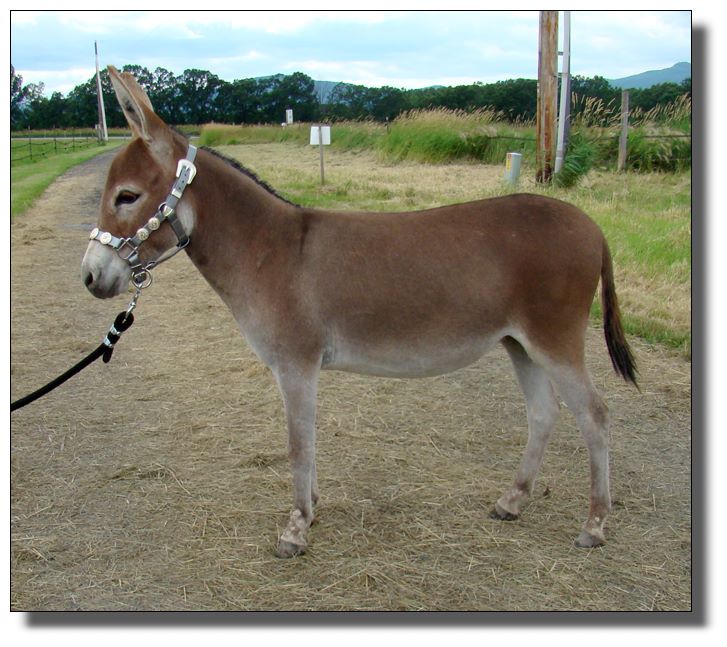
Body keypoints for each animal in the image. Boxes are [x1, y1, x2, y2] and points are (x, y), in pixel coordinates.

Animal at [81, 67, 637, 558]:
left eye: (127, 196)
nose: (89, 277)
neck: (270, 249)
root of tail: (593, 225)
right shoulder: (297, 368)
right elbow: (307, 441)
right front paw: (311, 511)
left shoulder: (296, 364)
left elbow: (298, 445)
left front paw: (296, 529)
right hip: (519, 342)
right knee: (544, 413)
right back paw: (513, 501)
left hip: (554, 338)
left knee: (595, 415)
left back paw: (595, 524)